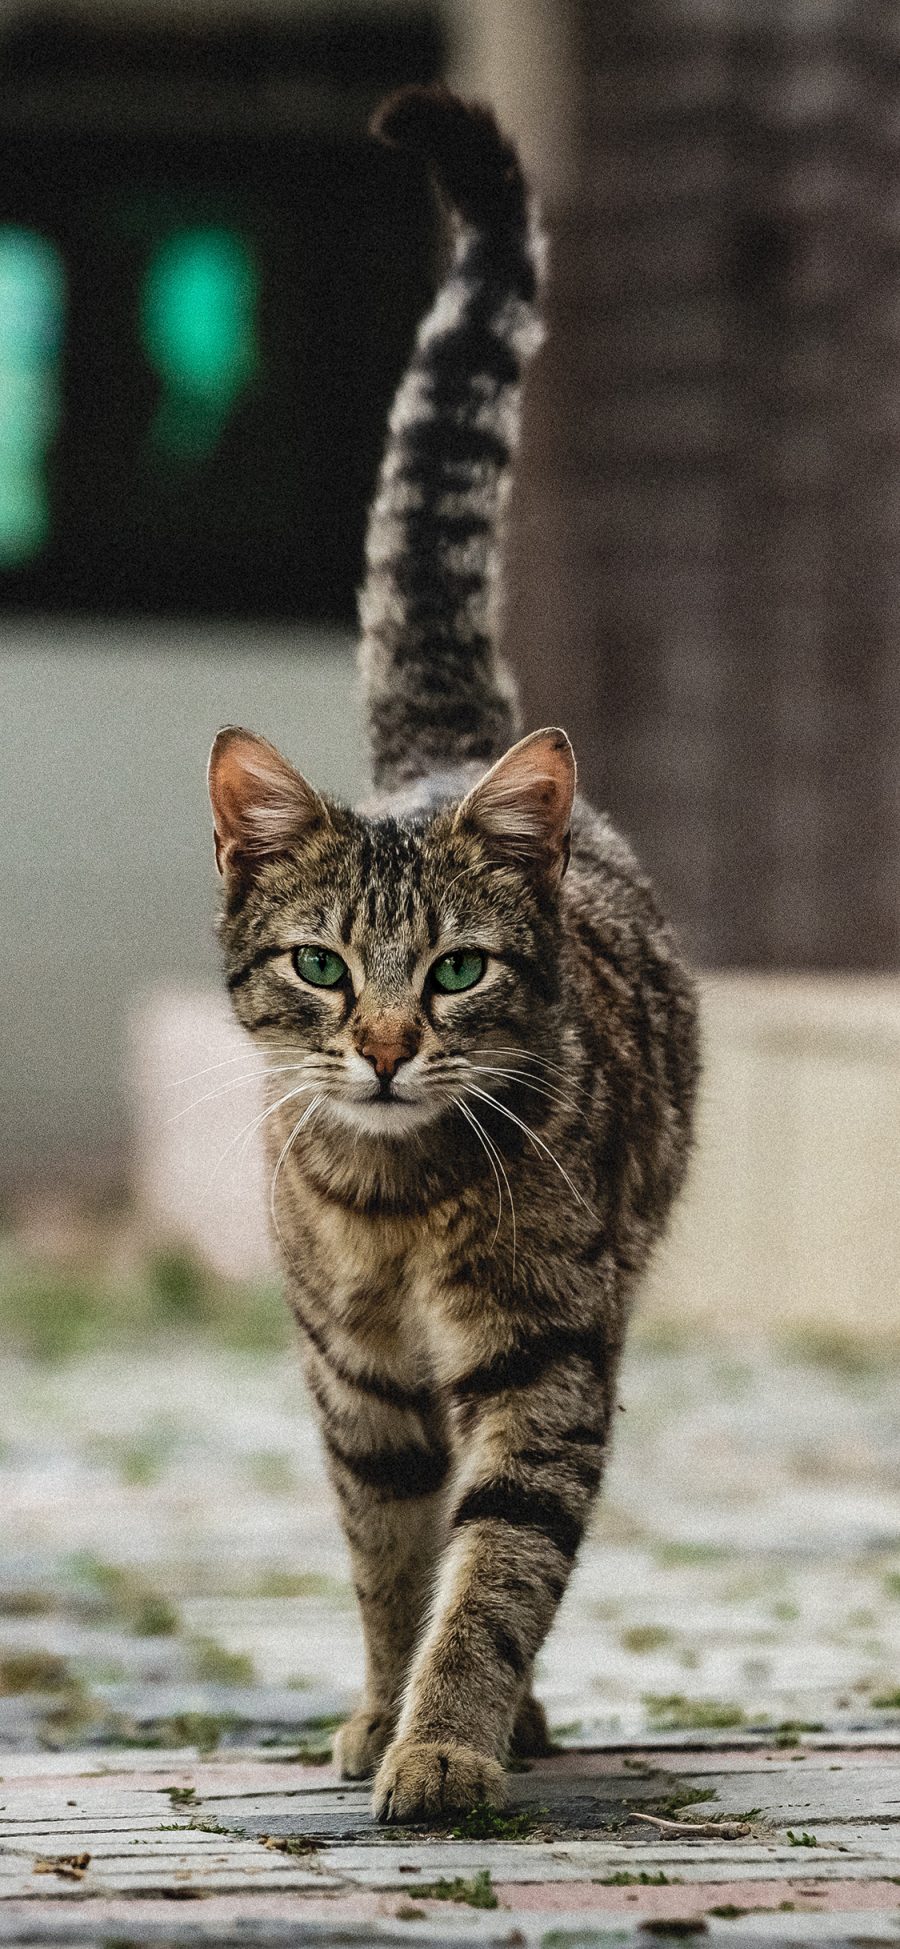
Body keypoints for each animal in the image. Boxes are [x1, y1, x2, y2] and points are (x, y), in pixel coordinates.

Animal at [207, 87, 701, 1824]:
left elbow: (500, 1566)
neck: (395, 1201)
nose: (383, 1046)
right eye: (322, 968)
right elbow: (389, 1555)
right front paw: (383, 1708)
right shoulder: (357, 1384)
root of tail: (446, 751)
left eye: (460, 972)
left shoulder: (547, 1357)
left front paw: (448, 1739)